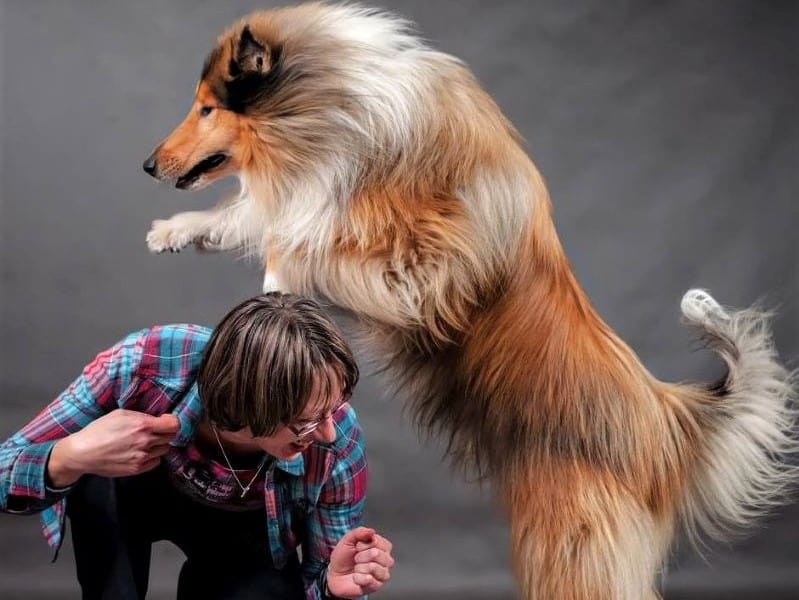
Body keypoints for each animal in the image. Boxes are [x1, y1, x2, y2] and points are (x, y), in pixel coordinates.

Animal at [141, 3, 796, 596]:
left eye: (207, 107)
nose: (148, 165)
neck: (335, 107)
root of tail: (664, 420)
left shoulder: (422, 269)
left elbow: (302, 231)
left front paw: (278, 279)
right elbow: (255, 214)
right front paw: (175, 231)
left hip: (567, 542)